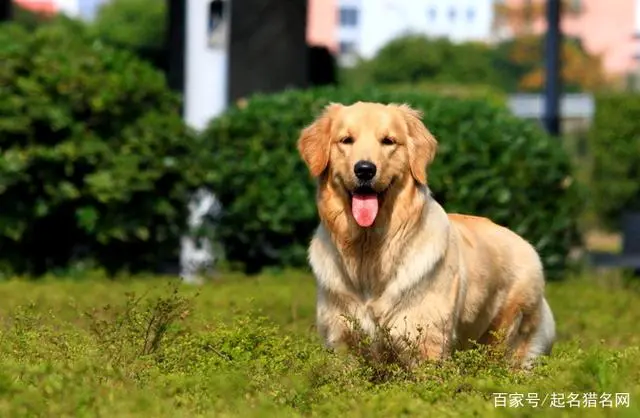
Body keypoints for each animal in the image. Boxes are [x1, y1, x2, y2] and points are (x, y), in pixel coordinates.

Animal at [296, 101, 556, 370]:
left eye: (388, 141)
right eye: (346, 140)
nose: (365, 170)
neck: (369, 251)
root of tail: (527, 244)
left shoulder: (427, 343)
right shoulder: (341, 344)